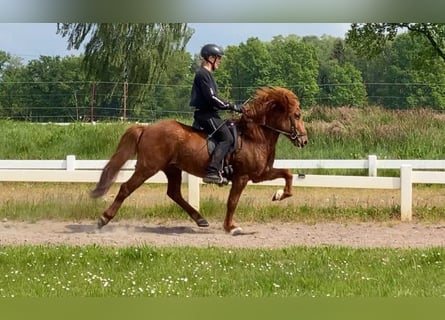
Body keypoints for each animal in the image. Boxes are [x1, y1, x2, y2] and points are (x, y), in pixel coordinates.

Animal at [90, 86, 306, 234]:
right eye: (296, 115)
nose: (304, 140)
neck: (255, 136)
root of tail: (147, 128)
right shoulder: (242, 177)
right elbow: (232, 202)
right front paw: (231, 227)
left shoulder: (260, 174)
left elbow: (288, 174)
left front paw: (278, 195)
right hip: (147, 168)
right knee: (126, 188)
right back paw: (103, 219)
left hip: (172, 169)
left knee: (174, 193)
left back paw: (200, 219)